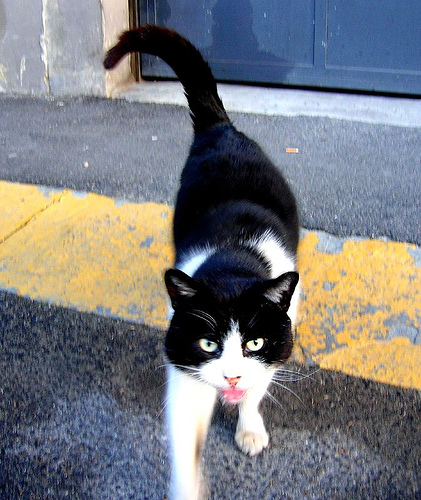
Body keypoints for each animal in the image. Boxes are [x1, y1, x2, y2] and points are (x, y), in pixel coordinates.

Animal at [104, 25, 300, 500]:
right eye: (209, 345)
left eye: (254, 343)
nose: (229, 378)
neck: (234, 256)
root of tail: (221, 129)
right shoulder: (184, 365)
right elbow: (185, 440)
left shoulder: (281, 334)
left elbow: (259, 384)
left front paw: (249, 428)